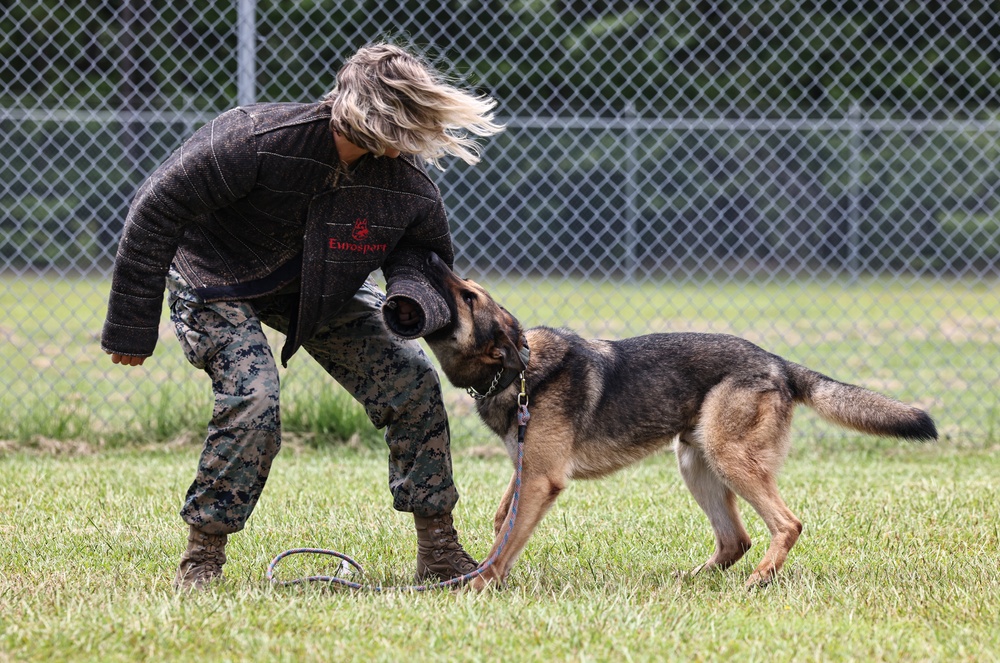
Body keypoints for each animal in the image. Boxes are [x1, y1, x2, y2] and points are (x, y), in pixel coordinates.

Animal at [408, 254, 936, 592]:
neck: (519, 372)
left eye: (468, 296)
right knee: (736, 539)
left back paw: (760, 579)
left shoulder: (541, 479)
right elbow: (503, 523)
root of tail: (778, 363)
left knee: (787, 524)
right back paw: (693, 581)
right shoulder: (526, 472)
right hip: (695, 463)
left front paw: (479, 585)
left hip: (728, 459)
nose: (429, 257)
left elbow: (506, 542)